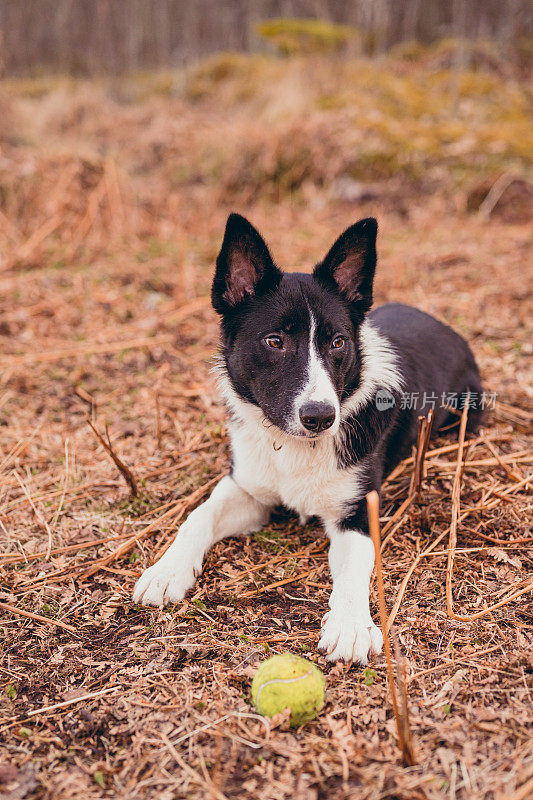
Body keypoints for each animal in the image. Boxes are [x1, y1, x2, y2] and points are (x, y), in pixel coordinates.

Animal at [133, 212, 482, 664]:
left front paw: (351, 625)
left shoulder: (357, 512)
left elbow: (354, 570)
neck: (292, 448)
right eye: (274, 341)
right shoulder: (247, 490)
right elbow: (198, 516)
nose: (320, 417)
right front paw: (167, 570)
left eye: (337, 342)